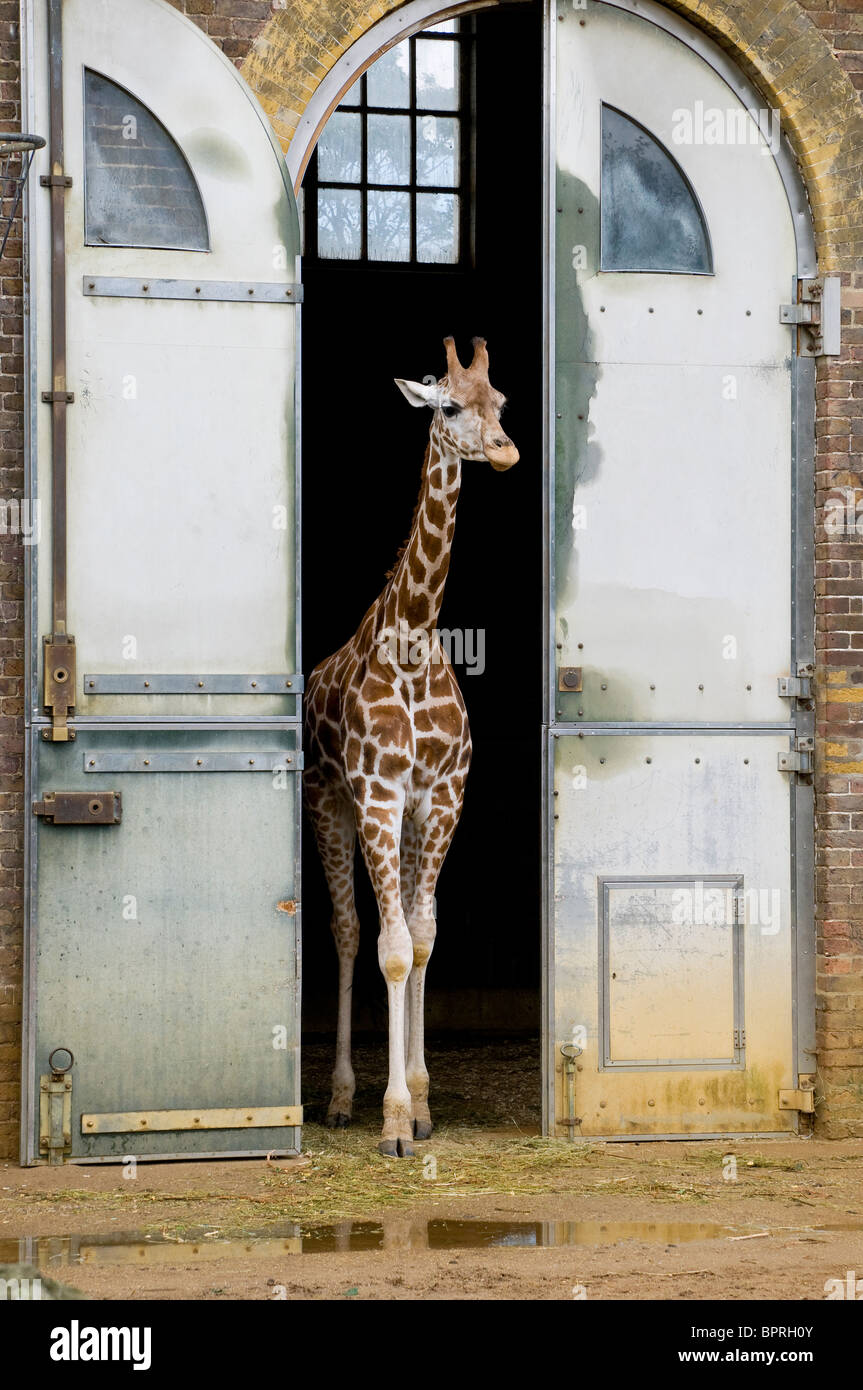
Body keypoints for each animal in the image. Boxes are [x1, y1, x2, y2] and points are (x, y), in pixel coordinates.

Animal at [302, 333, 516, 1150]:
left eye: (502, 402)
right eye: (449, 406)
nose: (505, 450)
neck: (417, 638)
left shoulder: (441, 798)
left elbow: (422, 939)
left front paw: (421, 1105)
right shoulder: (378, 795)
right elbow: (389, 948)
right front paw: (392, 1118)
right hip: (328, 805)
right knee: (346, 931)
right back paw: (338, 1097)